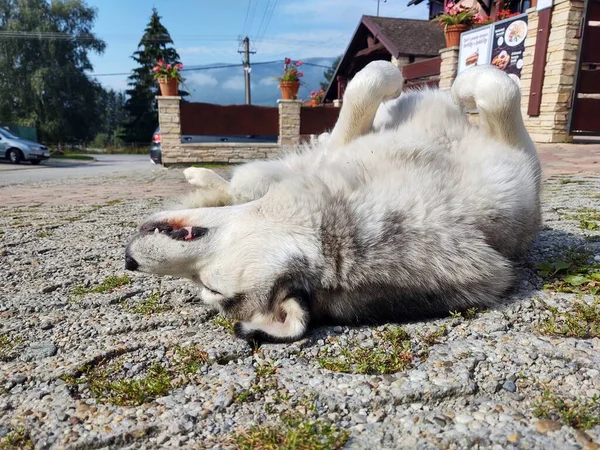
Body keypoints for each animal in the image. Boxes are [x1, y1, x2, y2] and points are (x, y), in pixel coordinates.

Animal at [124, 61, 540, 344]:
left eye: (210, 289)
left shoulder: (522, 177)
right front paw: (438, 83)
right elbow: (367, 85)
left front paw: (463, 85)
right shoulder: (343, 148)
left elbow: (497, 89)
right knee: (242, 184)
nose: (129, 261)